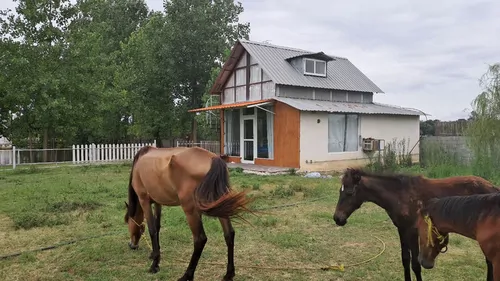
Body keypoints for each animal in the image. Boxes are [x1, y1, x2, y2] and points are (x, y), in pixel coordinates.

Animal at [123, 145, 252, 278]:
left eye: (127, 222)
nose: (131, 245)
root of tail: (214, 159)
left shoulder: (144, 200)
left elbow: (152, 230)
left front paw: (155, 265)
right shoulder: (158, 202)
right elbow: (157, 227)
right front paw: (154, 254)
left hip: (190, 209)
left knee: (200, 239)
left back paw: (187, 275)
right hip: (219, 203)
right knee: (229, 234)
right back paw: (229, 274)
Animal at [330, 167, 498, 280]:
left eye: (350, 192)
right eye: (339, 191)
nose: (338, 218)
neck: (400, 195)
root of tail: (493, 188)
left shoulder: (412, 231)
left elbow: (415, 264)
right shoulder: (402, 229)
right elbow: (405, 260)